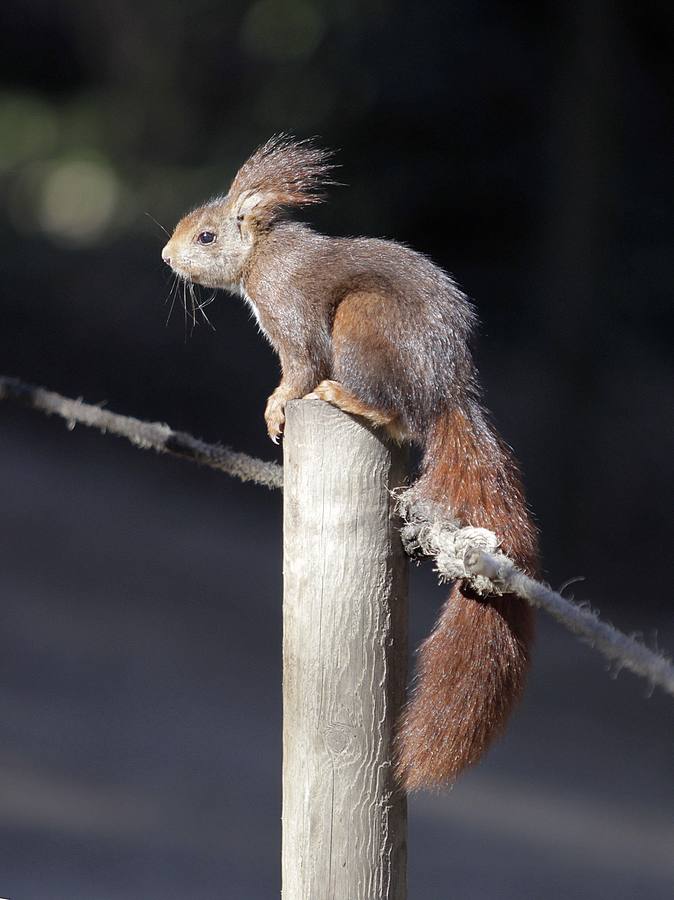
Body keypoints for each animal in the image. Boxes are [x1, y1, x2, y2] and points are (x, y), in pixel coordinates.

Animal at [161, 134, 536, 788]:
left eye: (206, 237)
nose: (166, 255)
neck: (264, 255)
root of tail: (445, 389)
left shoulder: (292, 317)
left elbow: (299, 368)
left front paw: (278, 408)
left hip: (360, 326)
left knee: (393, 413)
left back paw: (343, 398)